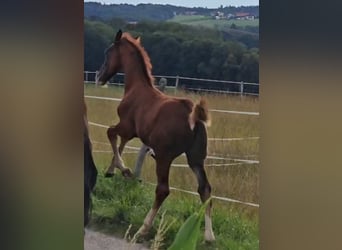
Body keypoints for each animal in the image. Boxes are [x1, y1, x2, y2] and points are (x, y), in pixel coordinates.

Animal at [95, 30, 215, 241]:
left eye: (107, 52)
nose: (100, 77)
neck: (136, 88)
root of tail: (194, 115)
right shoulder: (131, 132)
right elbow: (119, 142)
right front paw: (112, 170)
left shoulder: (127, 127)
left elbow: (110, 133)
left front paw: (124, 170)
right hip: (196, 158)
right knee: (205, 190)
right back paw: (209, 236)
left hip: (164, 157)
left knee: (163, 189)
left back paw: (143, 228)